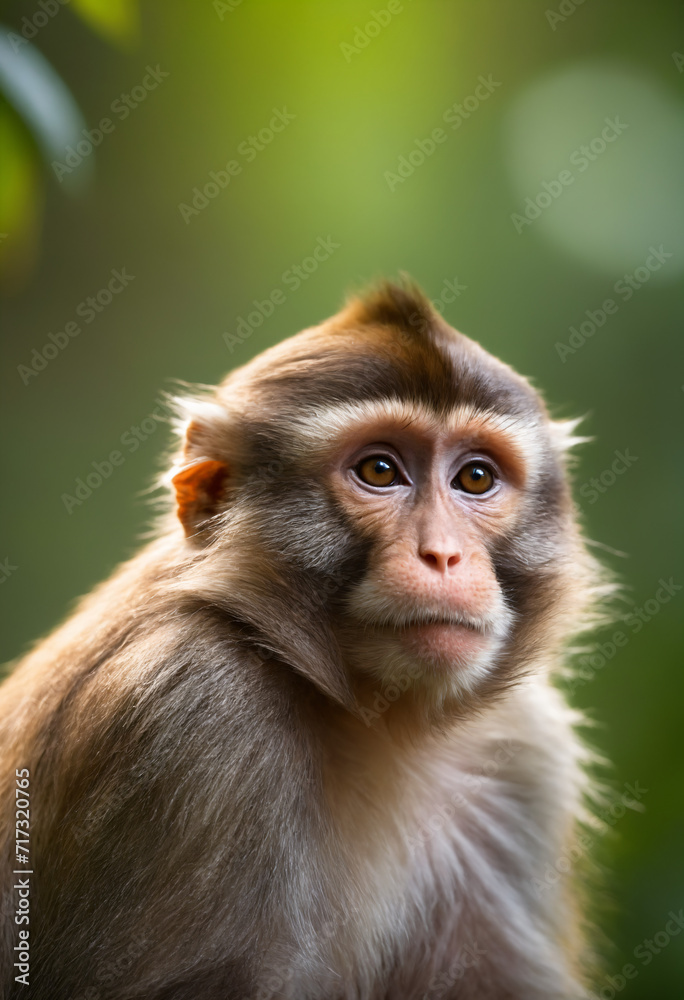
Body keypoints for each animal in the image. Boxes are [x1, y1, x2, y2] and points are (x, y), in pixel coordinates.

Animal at [0, 284, 608, 1000]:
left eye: (476, 479)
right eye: (380, 469)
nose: (444, 555)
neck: (372, 724)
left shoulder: (526, 751)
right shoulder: (192, 714)